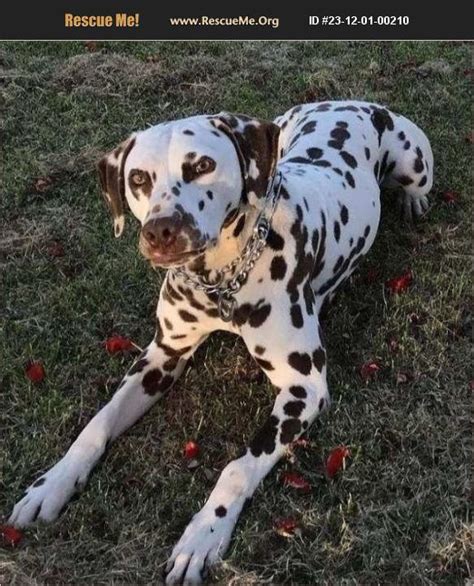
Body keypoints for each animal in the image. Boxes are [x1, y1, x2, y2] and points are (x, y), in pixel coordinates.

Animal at [10, 100, 434, 580]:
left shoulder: (303, 387)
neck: (221, 281)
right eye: (138, 179)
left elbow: (238, 466)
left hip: (413, 163)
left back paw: (413, 199)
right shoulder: (161, 356)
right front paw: (55, 481)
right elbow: (97, 424)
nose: (161, 230)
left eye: (202, 165)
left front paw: (204, 533)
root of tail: (349, 102)